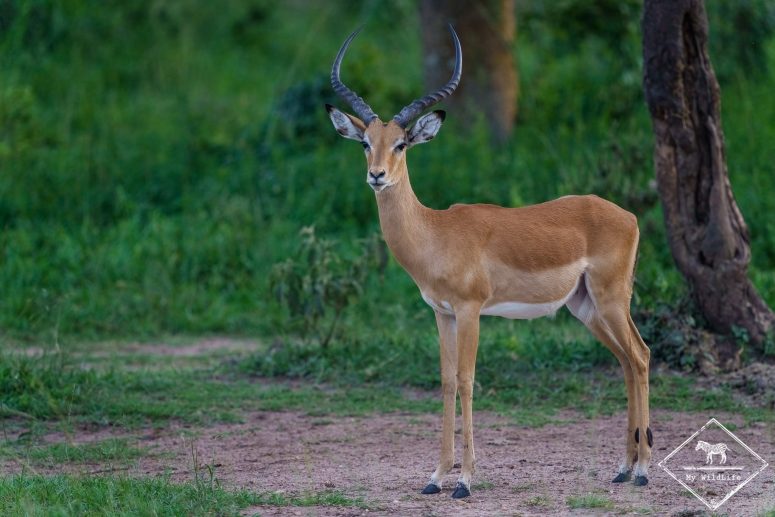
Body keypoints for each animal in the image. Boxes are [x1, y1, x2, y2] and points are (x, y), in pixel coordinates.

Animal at [325, 25, 653, 498]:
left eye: (401, 144)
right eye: (366, 143)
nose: (376, 175)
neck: (435, 232)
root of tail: (628, 216)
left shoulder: (470, 310)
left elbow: (467, 379)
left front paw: (464, 480)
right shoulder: (441, 313)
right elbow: (445, 382)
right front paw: (435, 477)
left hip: (611, 300)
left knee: (641, 356)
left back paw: (643, 470)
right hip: (586, 308)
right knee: (627, 361)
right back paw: (623, 468)